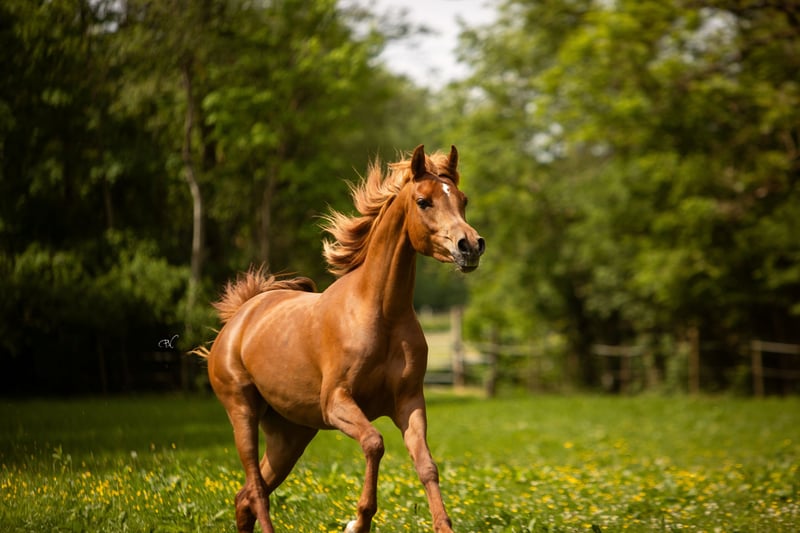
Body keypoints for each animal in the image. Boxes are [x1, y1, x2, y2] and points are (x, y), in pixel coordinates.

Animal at [197, 145, 485, 533]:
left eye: (462, 199)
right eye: (424, 201)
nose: (470, 246)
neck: (380, 313)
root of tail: (240, 317)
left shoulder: (409, 402)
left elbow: (427, 465)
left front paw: (443, 526)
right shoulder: (336, 403)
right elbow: (374, 443)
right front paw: (357, 522)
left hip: (291, 436)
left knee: (244, 497)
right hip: (242, 411)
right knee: (255, 491)